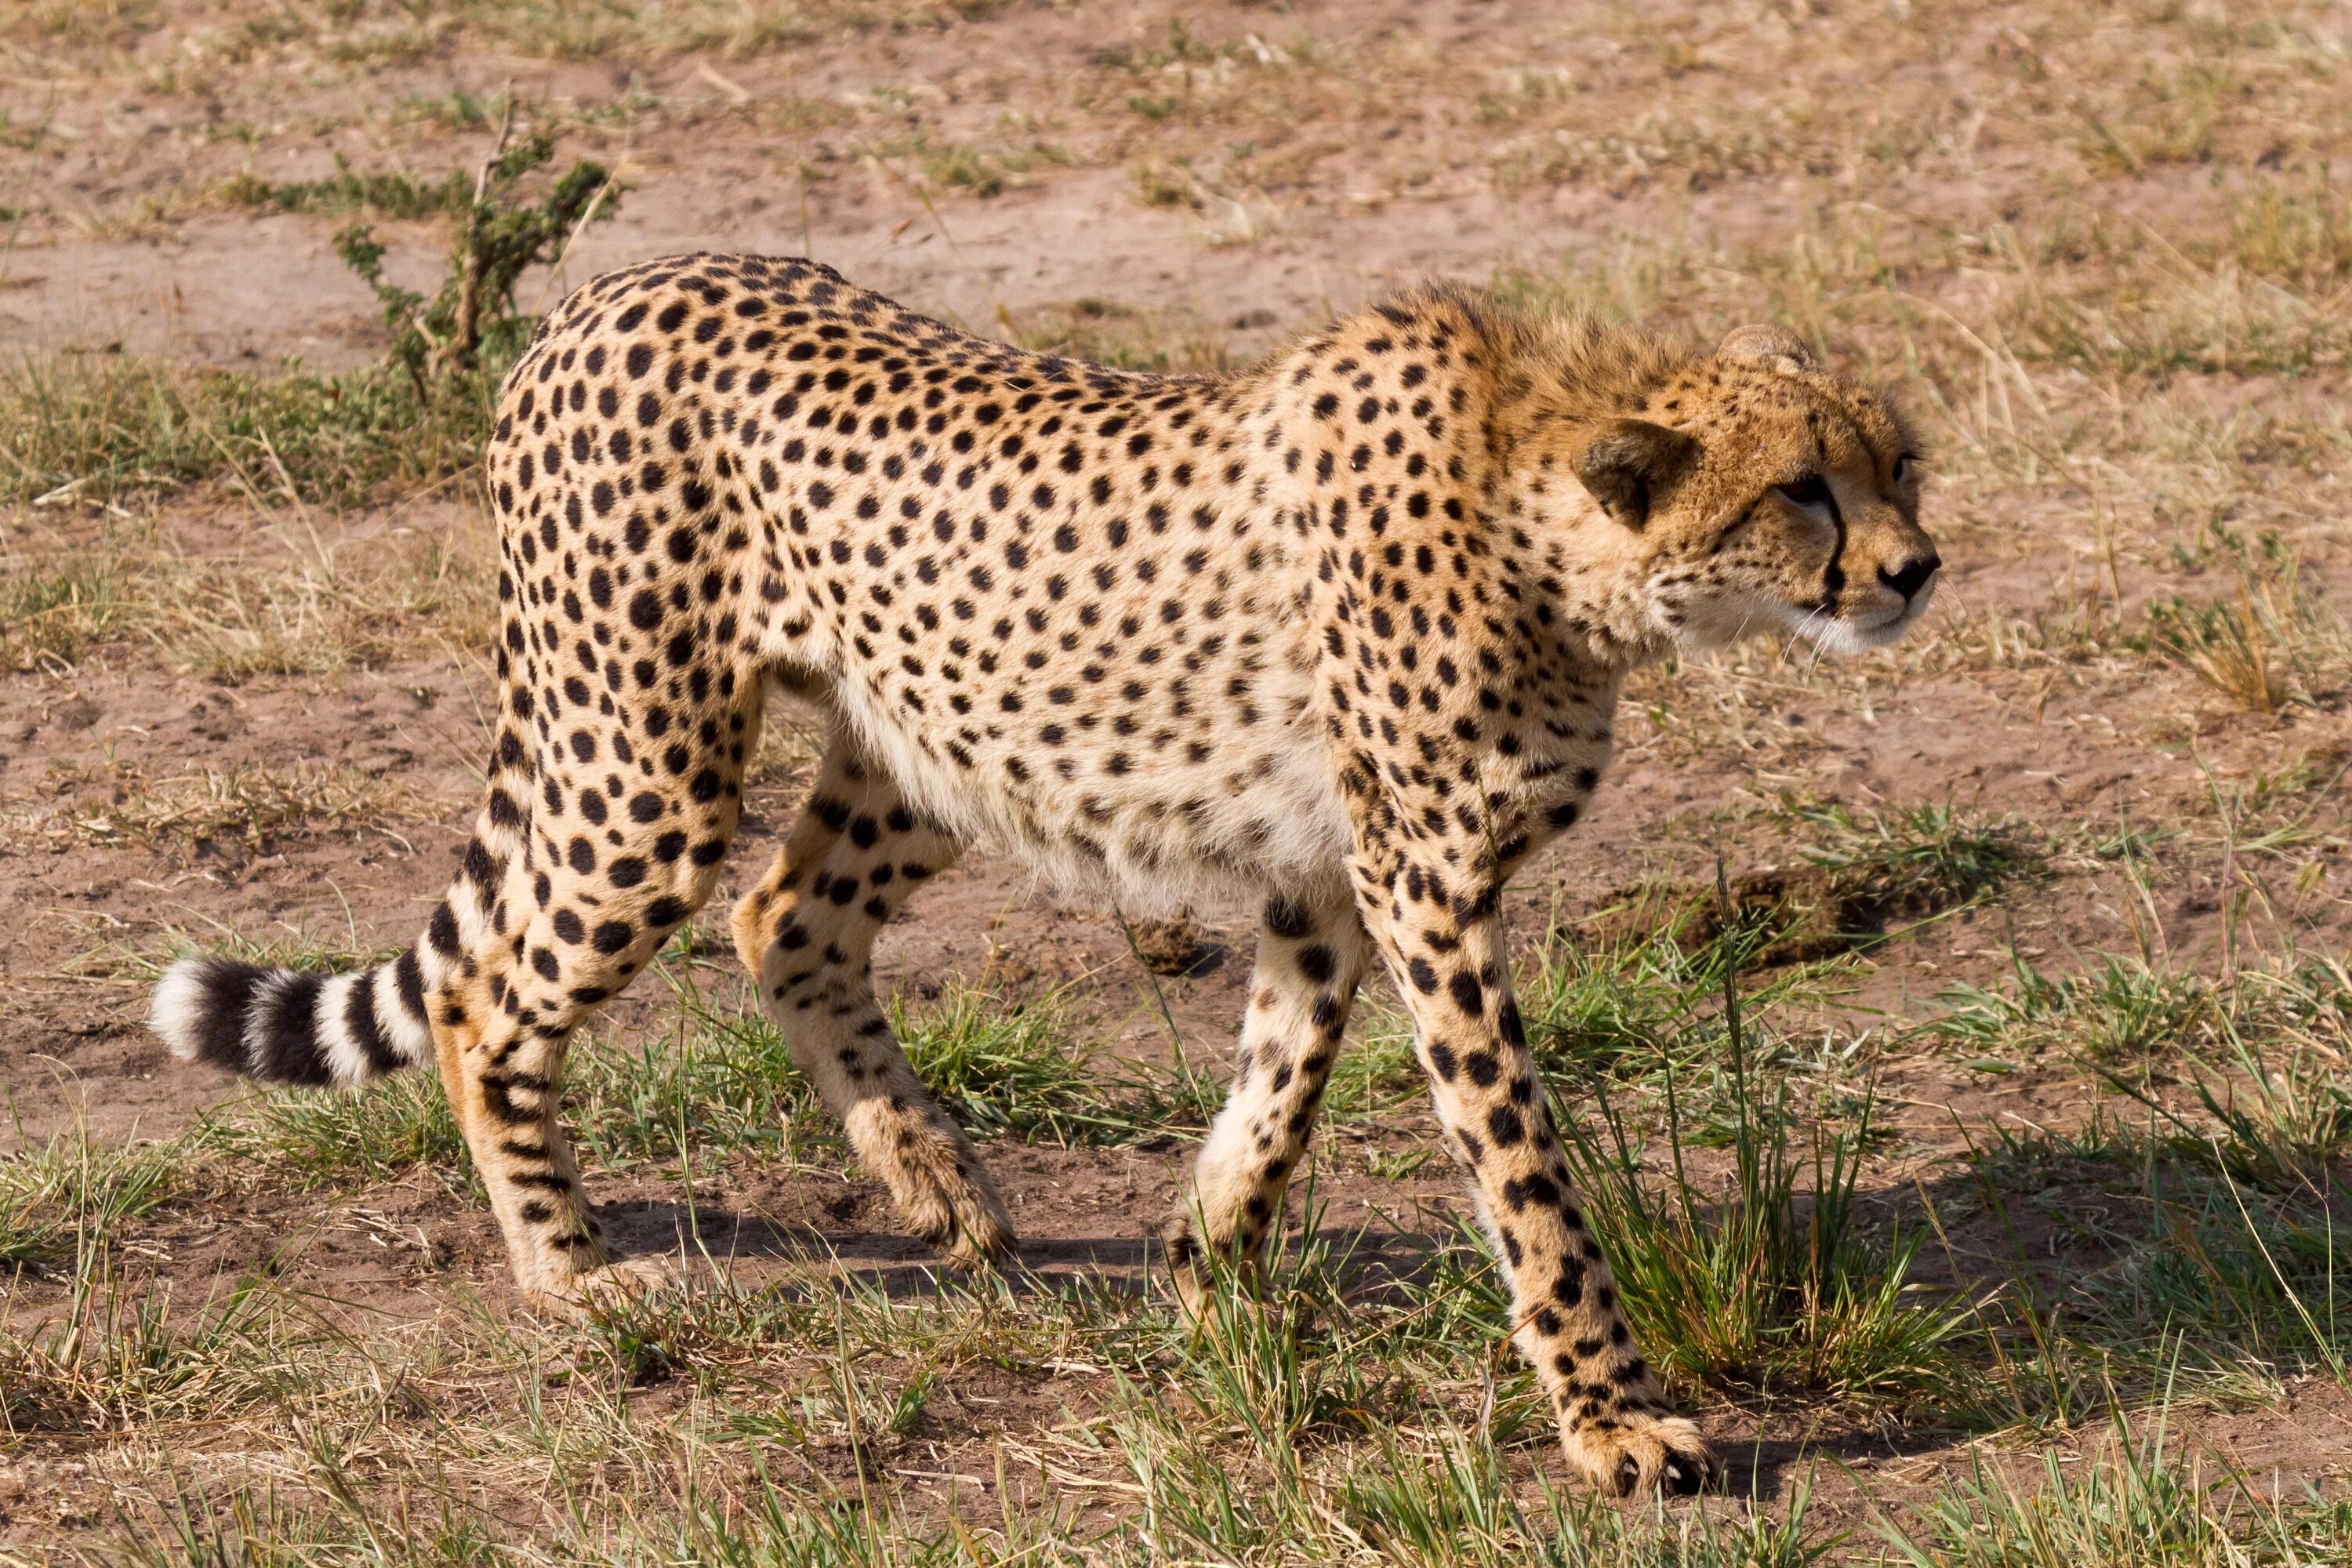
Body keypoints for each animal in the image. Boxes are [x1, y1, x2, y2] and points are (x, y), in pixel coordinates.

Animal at [156, 255, 1938, 1495]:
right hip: (645, 764)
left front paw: (1208, 1271)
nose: (1918, 568)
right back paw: (568, 1269)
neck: (1544, 512)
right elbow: (1524, 1171)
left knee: (780, 917)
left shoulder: (1325, 876)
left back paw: (938, 1183)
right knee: (487, 994)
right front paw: (1615, 1421)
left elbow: (1281, 1077)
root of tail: (602, 295)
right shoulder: (1426, 882)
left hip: (931, 738)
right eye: (1802, 491)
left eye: (1900, 466)